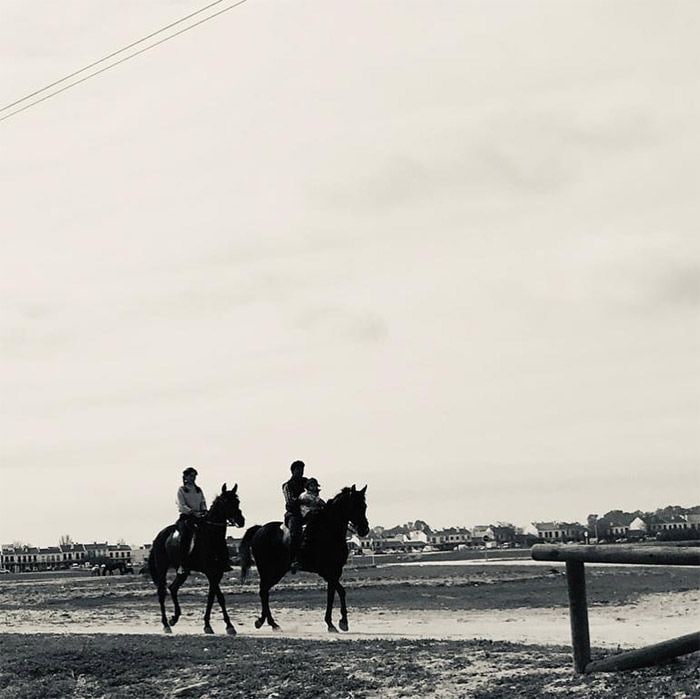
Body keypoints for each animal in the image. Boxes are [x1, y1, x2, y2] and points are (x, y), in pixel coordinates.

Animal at [149, 484, 245, 636]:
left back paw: (174, 619)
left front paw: (214, 625)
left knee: (173, 588)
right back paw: (166, 624)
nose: (241, 521)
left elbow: (214, 597)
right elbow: (218, 597)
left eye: (237, 501)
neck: (212, 536)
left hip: (183, 571)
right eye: (225, 502)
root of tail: (159, 537)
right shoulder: (210, 572)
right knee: (161, 593)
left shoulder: (217, 573)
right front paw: (224, 626)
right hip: (162, 568)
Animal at [241, 486, 370, 636]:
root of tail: (260, 529)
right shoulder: (326, 572)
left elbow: (333, 594)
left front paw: (336, 623)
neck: (328, 530)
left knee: (264, 591)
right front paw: (338, 623)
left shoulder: (335, 572)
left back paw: (266, 622)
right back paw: (269, 623)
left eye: (364, 506)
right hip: (268, 570)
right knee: (263, 591)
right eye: (354, 505)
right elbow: (339, 592)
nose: (364, 529)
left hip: (277, 572)